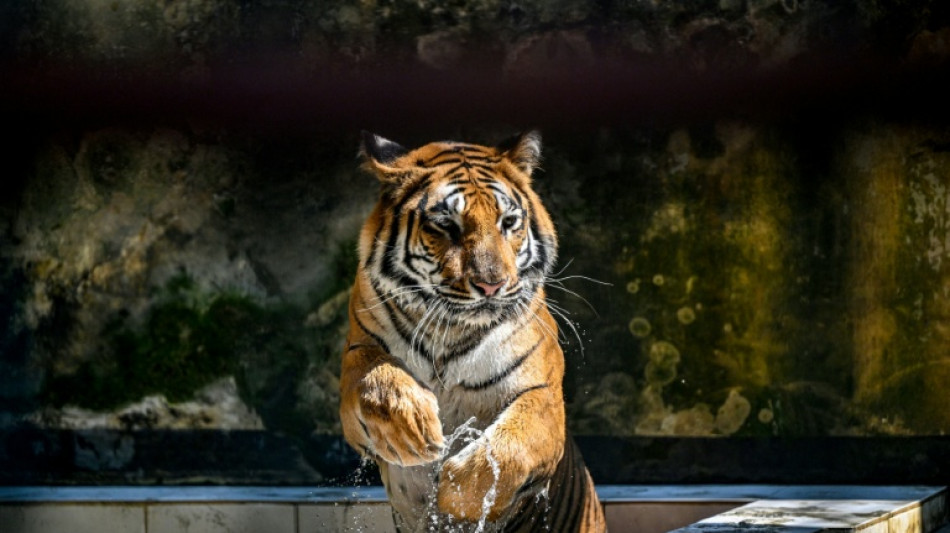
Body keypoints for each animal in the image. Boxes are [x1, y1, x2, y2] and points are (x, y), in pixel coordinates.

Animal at [339, 131, 606, 532]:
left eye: (508, 222)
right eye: (446, 225)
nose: (492, 285)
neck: (448, 329)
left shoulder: (543, 393)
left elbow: (510, 448)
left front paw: (453, 493)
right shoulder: (358, 351)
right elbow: (373, 377)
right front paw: (413, 431)